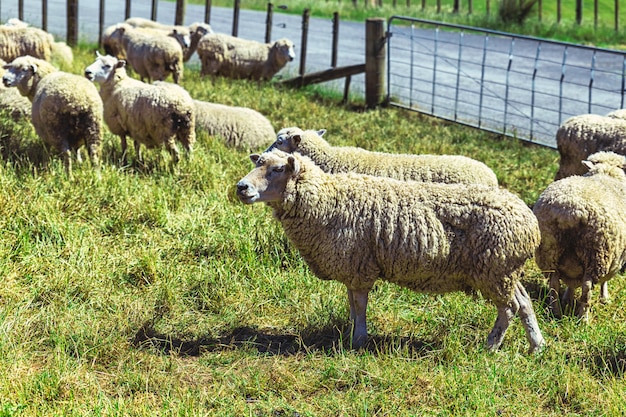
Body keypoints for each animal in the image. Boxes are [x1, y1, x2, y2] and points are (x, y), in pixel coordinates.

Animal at [236, 148, 544, 352]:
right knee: (524, 302)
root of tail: (530, 223)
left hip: (494, 270)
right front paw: (351, 332)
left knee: (509, 308)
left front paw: (359, 340)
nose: (241, 187)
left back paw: (491, 346)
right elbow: (351, 303)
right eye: (259, 163)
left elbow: (360, 304)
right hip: (504, 270)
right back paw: (536, 346)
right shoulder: (352, 265)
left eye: (278, 169)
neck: (328, 200)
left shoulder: (359, 264)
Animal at [528, 151, 624, 320]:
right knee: (587, 289)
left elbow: (571, 283)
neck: (607, 174)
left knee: (554, 283)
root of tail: (571, 210)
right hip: (597, 255)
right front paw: (605, 298)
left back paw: (556, 311)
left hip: (549, 250)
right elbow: (605, 282)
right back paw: (583, 318)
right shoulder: (616, 258)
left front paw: (568, 297)